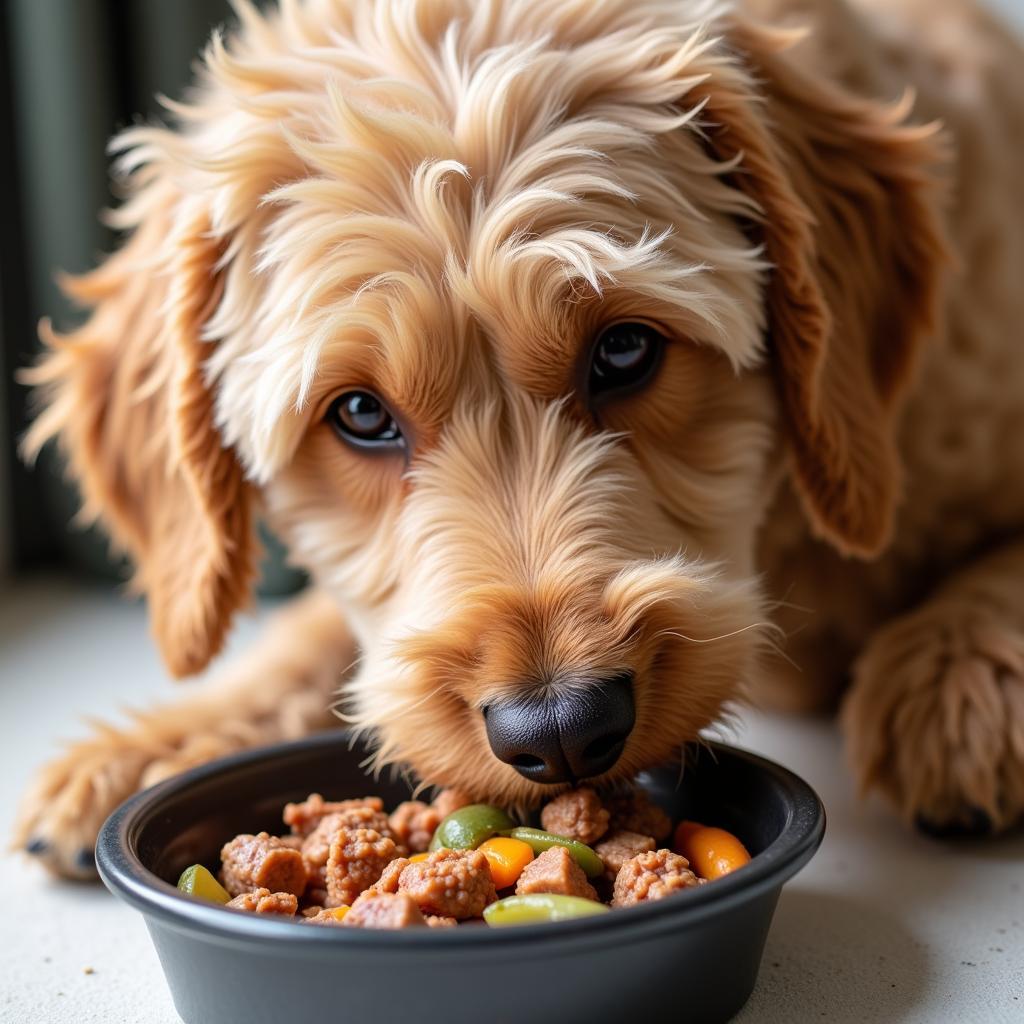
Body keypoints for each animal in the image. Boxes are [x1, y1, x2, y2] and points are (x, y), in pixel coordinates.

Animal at [16, 0, 1024, 880]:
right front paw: (170, 737)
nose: (562, 729)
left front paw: (957, 682)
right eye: (360, 414)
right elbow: (319, 636)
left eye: (624, 349)